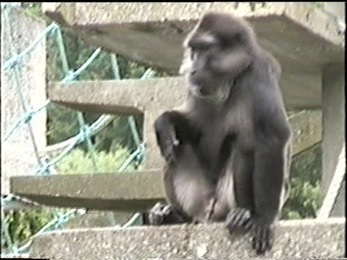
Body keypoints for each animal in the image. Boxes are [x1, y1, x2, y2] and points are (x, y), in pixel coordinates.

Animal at [144, 11, 294, 254]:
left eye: (205, 49)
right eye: (193, 51)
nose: (193, 67)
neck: (227, 83)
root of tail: (209, 210)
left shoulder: (258, 73)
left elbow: (273, 136)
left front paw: (265, 218)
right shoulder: (194, 87)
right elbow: (191, 127)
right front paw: (164, 122)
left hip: (225, 198)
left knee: (244, 143)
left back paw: (243, 213)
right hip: (198, 196)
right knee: (176, 149)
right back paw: (174, 216)